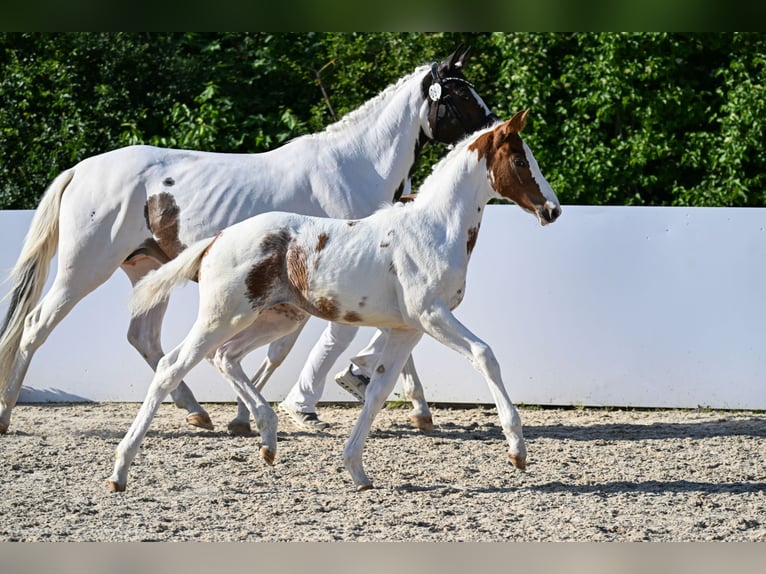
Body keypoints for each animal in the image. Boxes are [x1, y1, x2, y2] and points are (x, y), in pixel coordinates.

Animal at [0, 46, 495, 436]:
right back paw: (7, 415)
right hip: (83, 268)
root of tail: (79, 169)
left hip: (145, 270)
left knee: (144, 338)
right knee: (35, 325)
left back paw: (197, 412)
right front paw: (286, 407)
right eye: (459, 95)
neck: (353, 167)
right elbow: (306, 345)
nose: (495, 130)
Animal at [108, 110, 562, 492]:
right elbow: (485, 355)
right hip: (223, 315)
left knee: (226, 357)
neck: (431, 229)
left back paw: (267, 438)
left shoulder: (406, 329)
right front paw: (517, 451)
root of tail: (218, 238)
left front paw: (357, 470)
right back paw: (121, 470)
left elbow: (378, 392)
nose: (553, 210)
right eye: (520, 162)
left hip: (277, 318)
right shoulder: (431, 314)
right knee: (172, 366)